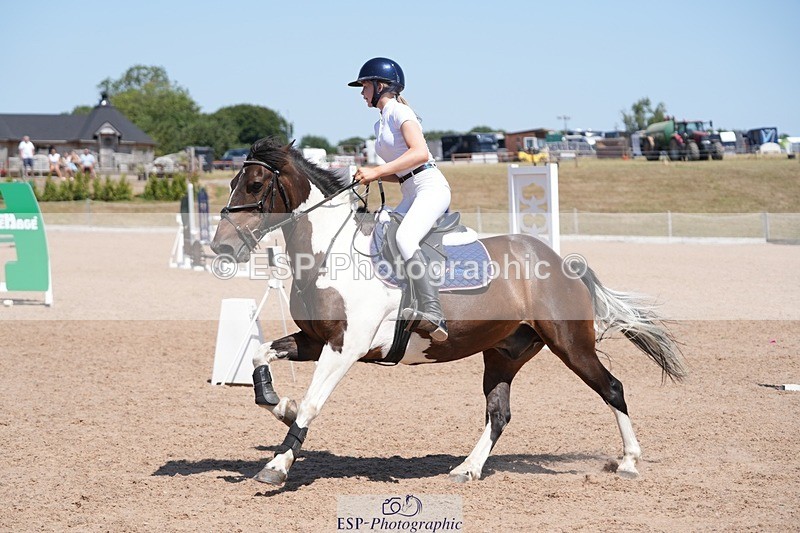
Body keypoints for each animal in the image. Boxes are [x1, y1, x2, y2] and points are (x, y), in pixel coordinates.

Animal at [210, 136, 687, 486]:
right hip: (504, 352)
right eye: (233, 181)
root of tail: (559, 262)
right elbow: (259, 358)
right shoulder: (315, 341)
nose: (221, 247)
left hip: (570, 344)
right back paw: (467, 469)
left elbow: (312, 403)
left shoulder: (345, 347)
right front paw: (280, 404)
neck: (330, 252)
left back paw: (628, 462)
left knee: (612, 388)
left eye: (254, 186)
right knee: (499, 413)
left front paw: (276, 466)